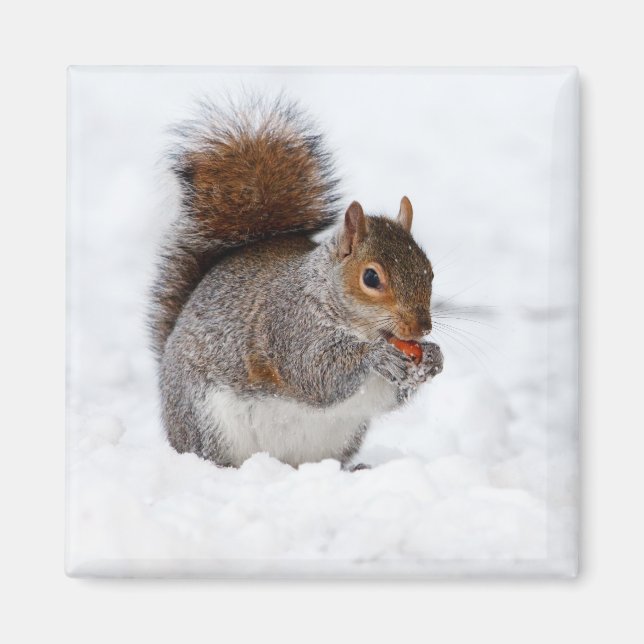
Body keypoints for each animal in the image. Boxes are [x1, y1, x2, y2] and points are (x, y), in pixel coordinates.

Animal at [149, 96, 443, 469]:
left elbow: (389, 395)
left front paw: (433, 357)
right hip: (206, 420)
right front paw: (376, 356)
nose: (422, 328)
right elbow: (315, 372)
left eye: (430, 271)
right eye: (371, 277)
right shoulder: (289, 326)